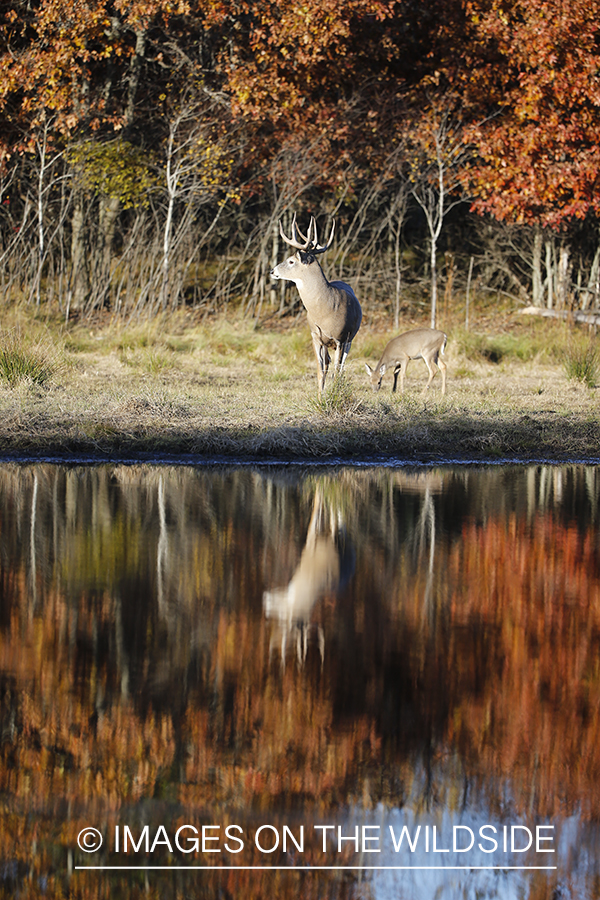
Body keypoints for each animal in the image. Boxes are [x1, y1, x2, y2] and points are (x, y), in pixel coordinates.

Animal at [270, 213, 360, 396]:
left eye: (291, 261)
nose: (272, 271)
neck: (325, 309)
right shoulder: (315, 336)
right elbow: (320, 369)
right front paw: (320, 397)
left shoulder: (341, 338)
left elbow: (337, 370)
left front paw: (334, 395)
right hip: (327, 342)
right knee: (327, 363)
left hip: (350, 339)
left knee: (340, 366)